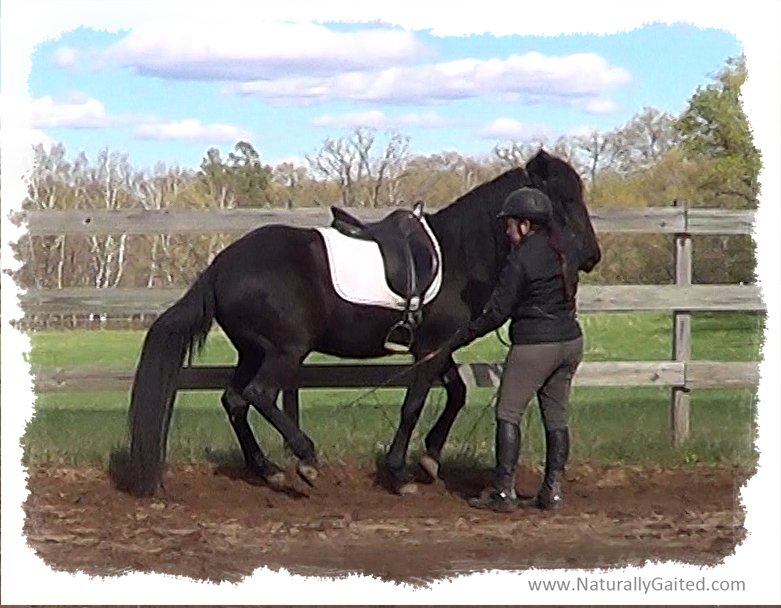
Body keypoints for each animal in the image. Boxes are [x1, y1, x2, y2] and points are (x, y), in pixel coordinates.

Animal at [125, 150, 601, 496]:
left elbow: (457, 393)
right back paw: (305, 460)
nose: (591, 256)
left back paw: (270, 470)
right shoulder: (431, 349)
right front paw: (400, 473)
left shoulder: (436, 346)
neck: (456, 257)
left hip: (253, 350)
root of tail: (220, 267)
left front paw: (430, 458)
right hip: (284, 351)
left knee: (235, 401)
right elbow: (413, 405)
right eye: (564, 199)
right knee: (259, 396)